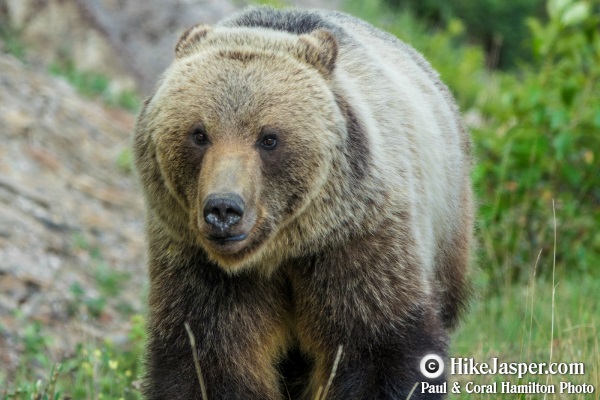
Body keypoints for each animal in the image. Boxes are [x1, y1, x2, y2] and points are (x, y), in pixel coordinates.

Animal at [132, 3, 474, 400]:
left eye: (269, 138)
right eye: (199, 134)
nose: (223, 210)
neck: (279, 250)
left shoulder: (354, 242)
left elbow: (378, 346)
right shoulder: (200, 267)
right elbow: (209, 356)